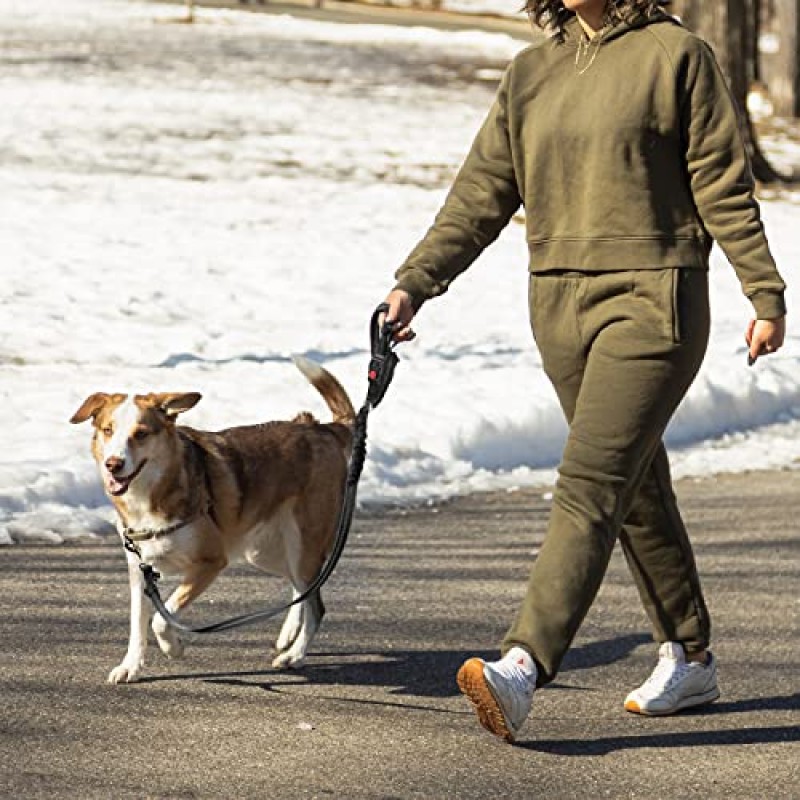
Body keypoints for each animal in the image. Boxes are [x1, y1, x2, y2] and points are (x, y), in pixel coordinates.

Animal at [71, 360, 354, 684]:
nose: (113, 465)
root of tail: (322, 430)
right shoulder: (139, 570)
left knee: (316, 604)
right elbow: (137, 625)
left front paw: (173, 648)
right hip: (265, 552)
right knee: (303, 589)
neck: (151, 494)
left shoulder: (211, 563)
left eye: (141, 434)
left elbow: (160, 619)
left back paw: (294, 655)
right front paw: (130, 666)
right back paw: (288, 634)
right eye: (108, 430)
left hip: (304, 543)